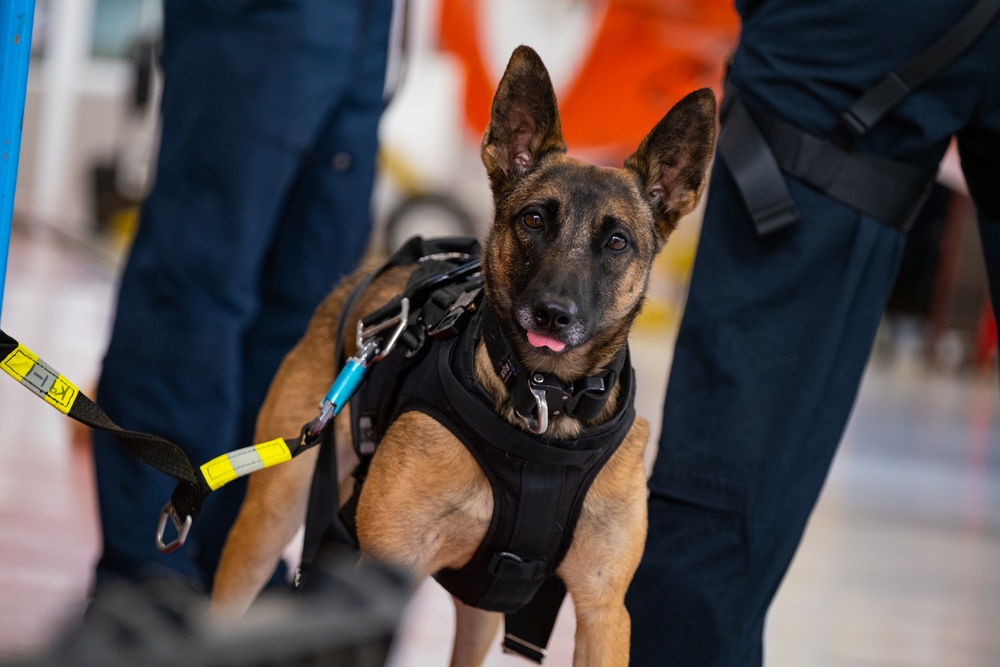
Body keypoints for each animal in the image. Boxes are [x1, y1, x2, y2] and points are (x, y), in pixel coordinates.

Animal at [211, 44, 716, 664]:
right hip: (268, 526)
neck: (544, 407)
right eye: (533, 220)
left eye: (617, 242)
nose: (553, 314)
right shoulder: (378, 582)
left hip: (476, 610)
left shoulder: (602, 613)